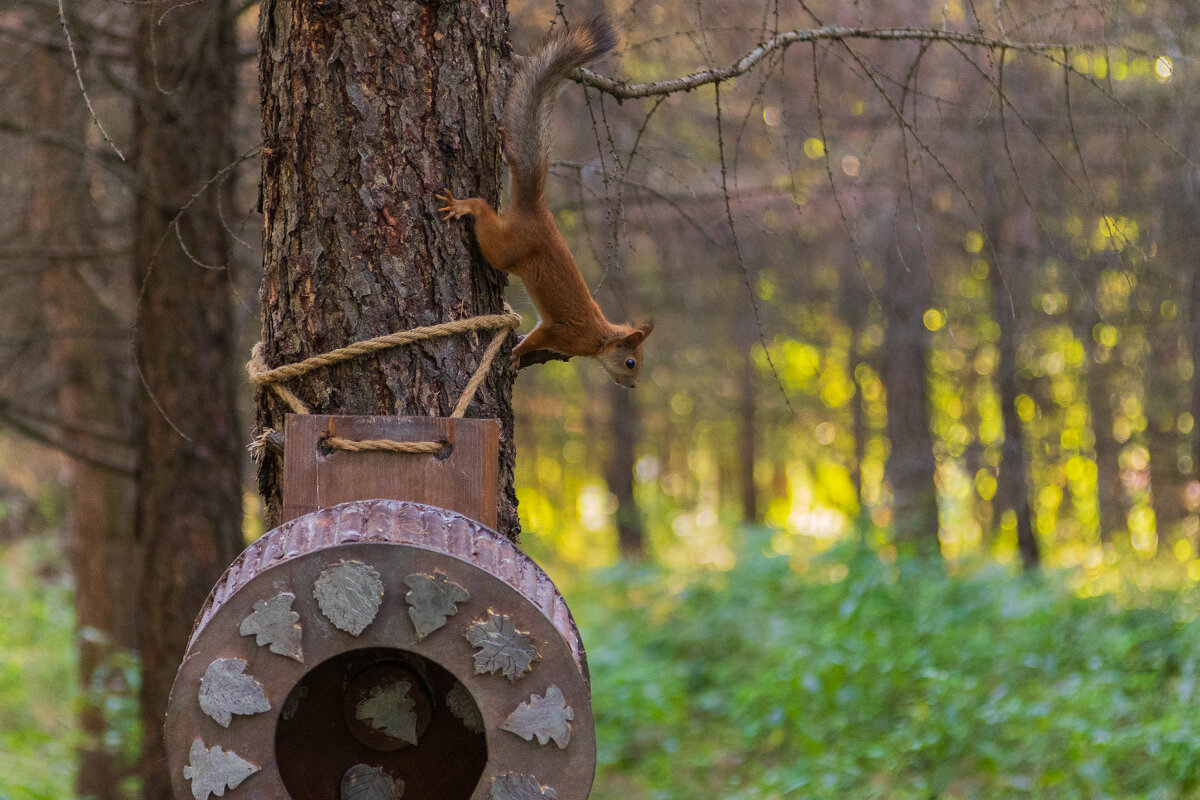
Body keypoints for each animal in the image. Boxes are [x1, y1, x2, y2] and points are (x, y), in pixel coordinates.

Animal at [436, 17, 652, 388]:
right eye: (630, 362)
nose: (634, 384)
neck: (598, 338)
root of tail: (537, 210)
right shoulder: (562, 333)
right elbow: (537, 339)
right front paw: (517, 353)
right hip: (508, 249)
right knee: (486, 221)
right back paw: (466, 206)